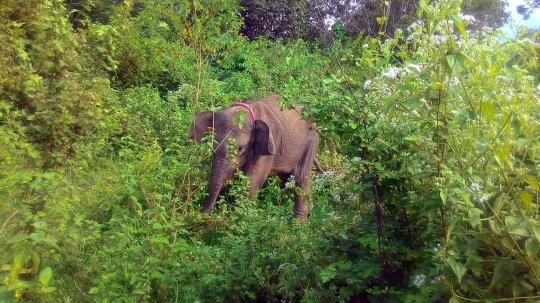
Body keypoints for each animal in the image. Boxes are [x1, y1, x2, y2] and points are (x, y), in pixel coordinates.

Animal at [189, 96, 320, 222]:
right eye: (212, 146)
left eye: (240, 149)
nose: (201, 215)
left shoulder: (270, 143)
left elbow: (252, 180)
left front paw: (241, 220)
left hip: (311, 141)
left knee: (300, 179)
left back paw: (299, 224)